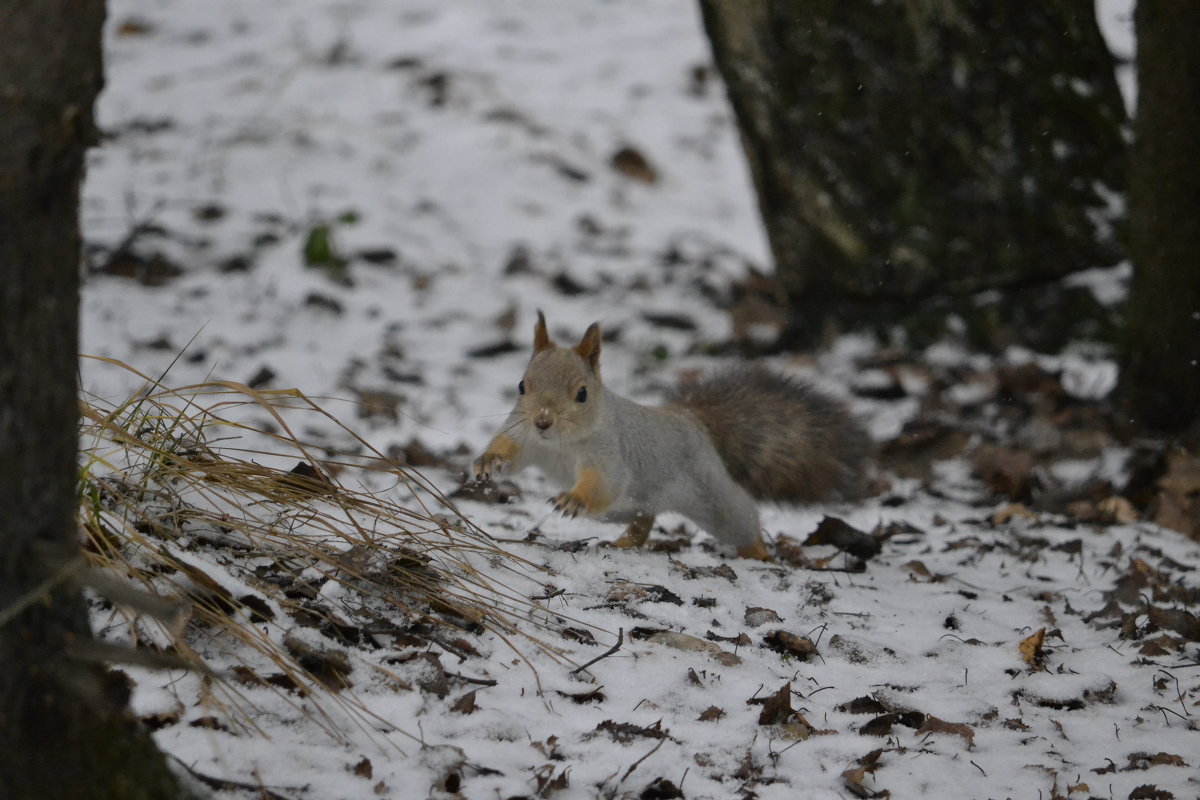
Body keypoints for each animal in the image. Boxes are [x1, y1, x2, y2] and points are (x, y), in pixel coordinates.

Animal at [470, 309, 873, 561]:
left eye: (582, 394)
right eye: (522, 385)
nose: (543, 420)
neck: (560, 445)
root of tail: (692, 421)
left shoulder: (609, 453)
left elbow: (604, 483)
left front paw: (573, 498)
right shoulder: (524, 435)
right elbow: (511, 452)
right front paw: (488, 461)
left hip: (712, 498)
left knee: (740, 516)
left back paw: (759, 552)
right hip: (621, 510)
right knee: (645, 521)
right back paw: (623, 544)